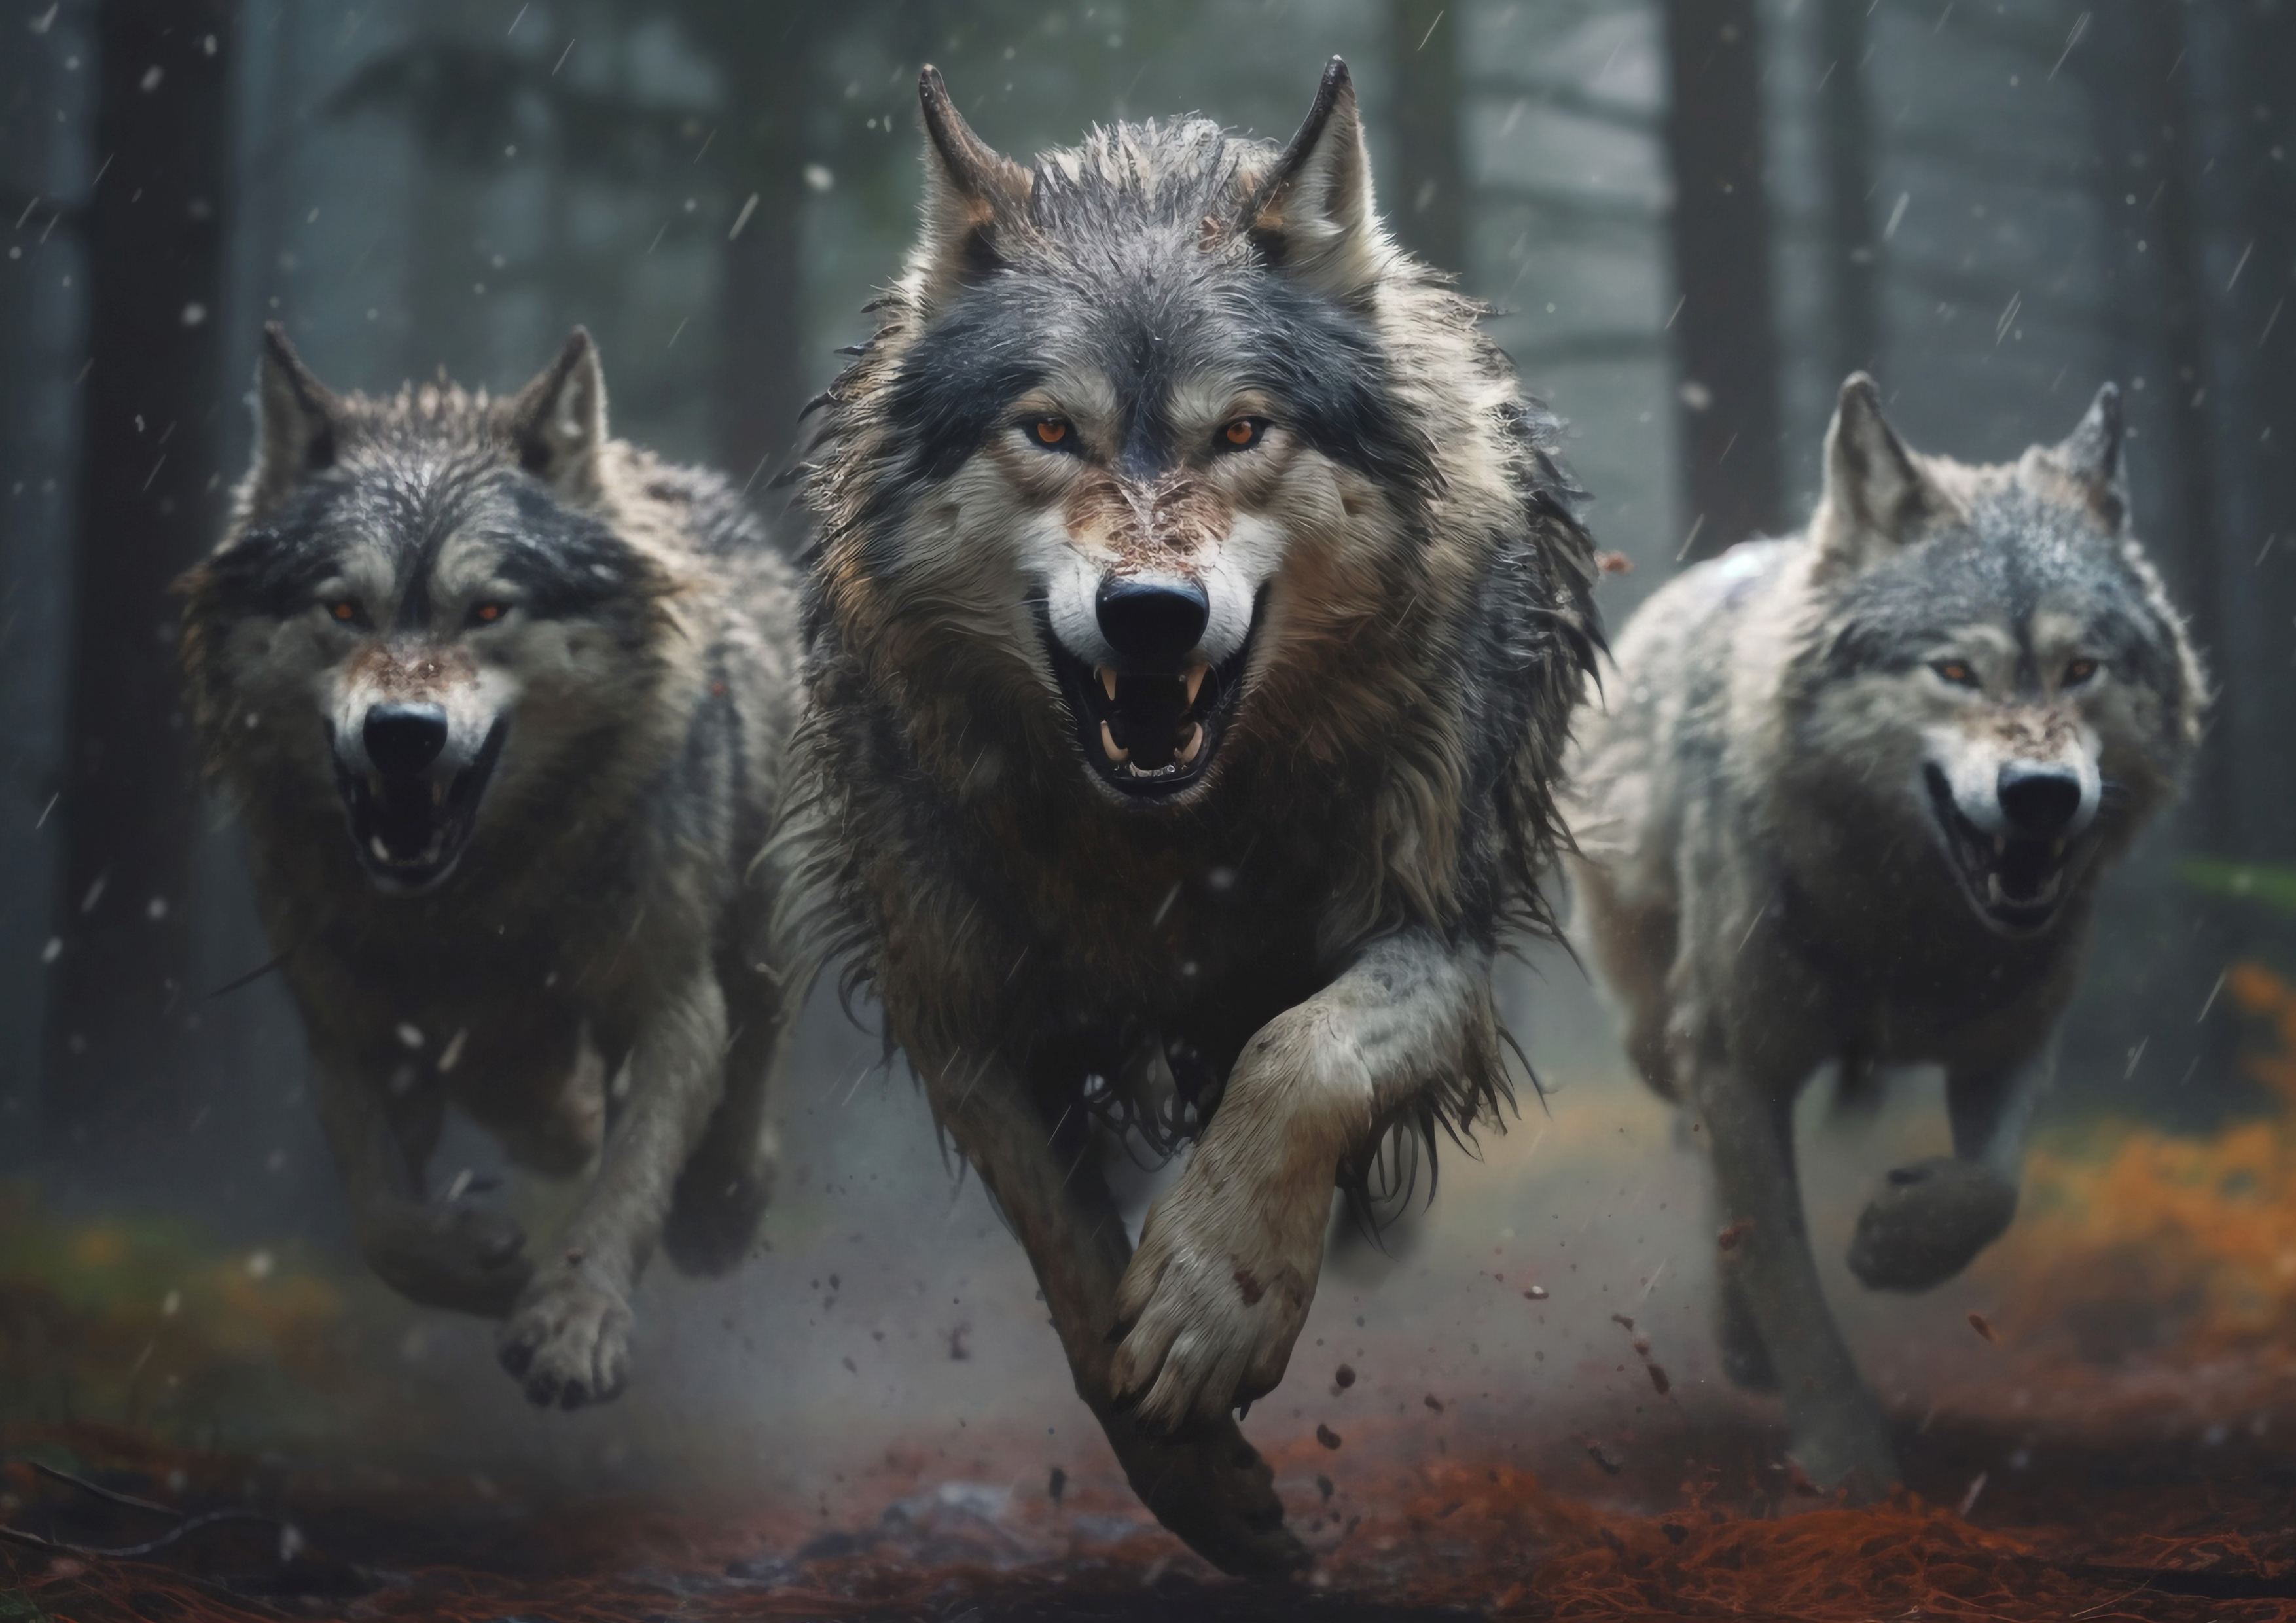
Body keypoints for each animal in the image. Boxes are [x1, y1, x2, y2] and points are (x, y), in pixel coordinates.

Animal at [180, 325, 801, 1409]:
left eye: (484, 611)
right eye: (345, 608)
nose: (402, 733)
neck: (472, 908)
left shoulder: (669, 1002)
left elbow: (629, 1185)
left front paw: (574, 1323)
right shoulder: (346, 1033)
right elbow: (384, 1222)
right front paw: (480, 1268)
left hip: (755, 932)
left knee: (750, 1056)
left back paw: (721, 1206)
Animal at [776, 60, 1598, 1573]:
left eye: (1240, 431)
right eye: (1050, 430)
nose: (1149, 613)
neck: (1168, 849)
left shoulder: (1437, 938)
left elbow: (1299, 1053)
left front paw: (1214, 1307)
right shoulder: (956, 1007)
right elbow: (1065, 1252)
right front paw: (1193, 1479)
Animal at [1569, 375, 2205, 1496]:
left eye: (2081, 667)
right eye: (1955, 670)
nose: (2042, 794)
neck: (1906, 933)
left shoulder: (2015, 1044)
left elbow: (1990, 1190)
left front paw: (1894, 1244)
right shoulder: (1737, 1060)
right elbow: (1788, 1282)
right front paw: (1850, 1467)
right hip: (1660, 1037)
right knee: (1708, 1164)